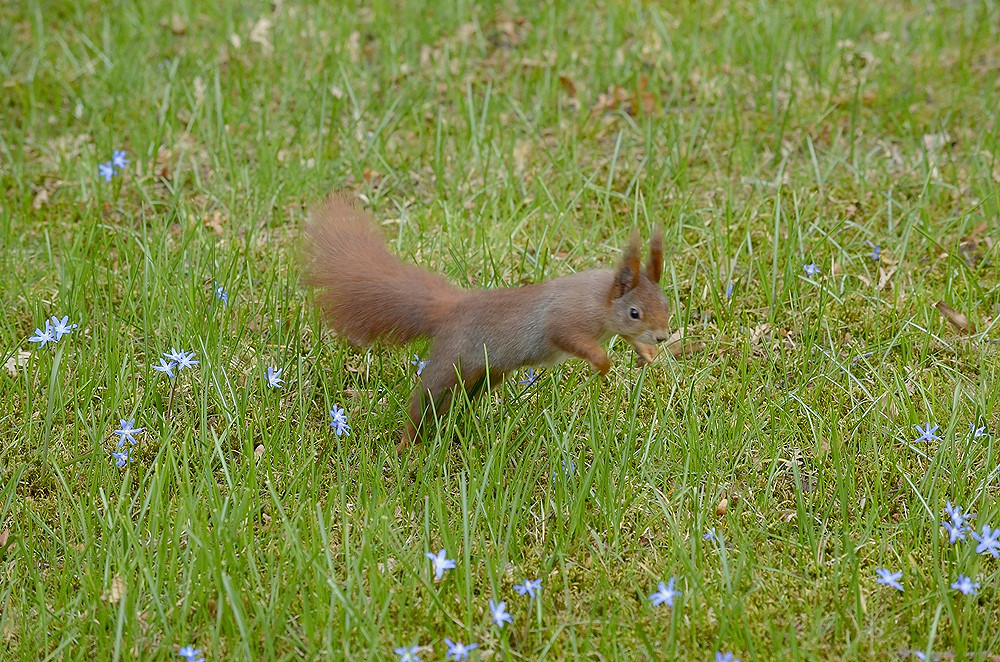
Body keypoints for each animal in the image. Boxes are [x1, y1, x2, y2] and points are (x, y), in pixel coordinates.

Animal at [304, 196, 672, 446]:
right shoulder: (565, 318)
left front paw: (646, 354)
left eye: (666, 303)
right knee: (425, 400)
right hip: (450, 361)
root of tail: (452, 310)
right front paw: (603, 363)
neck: (600, 298)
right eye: (635, 312)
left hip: (485, 372)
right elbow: (570, 338)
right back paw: (408, 443)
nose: (663, 336)